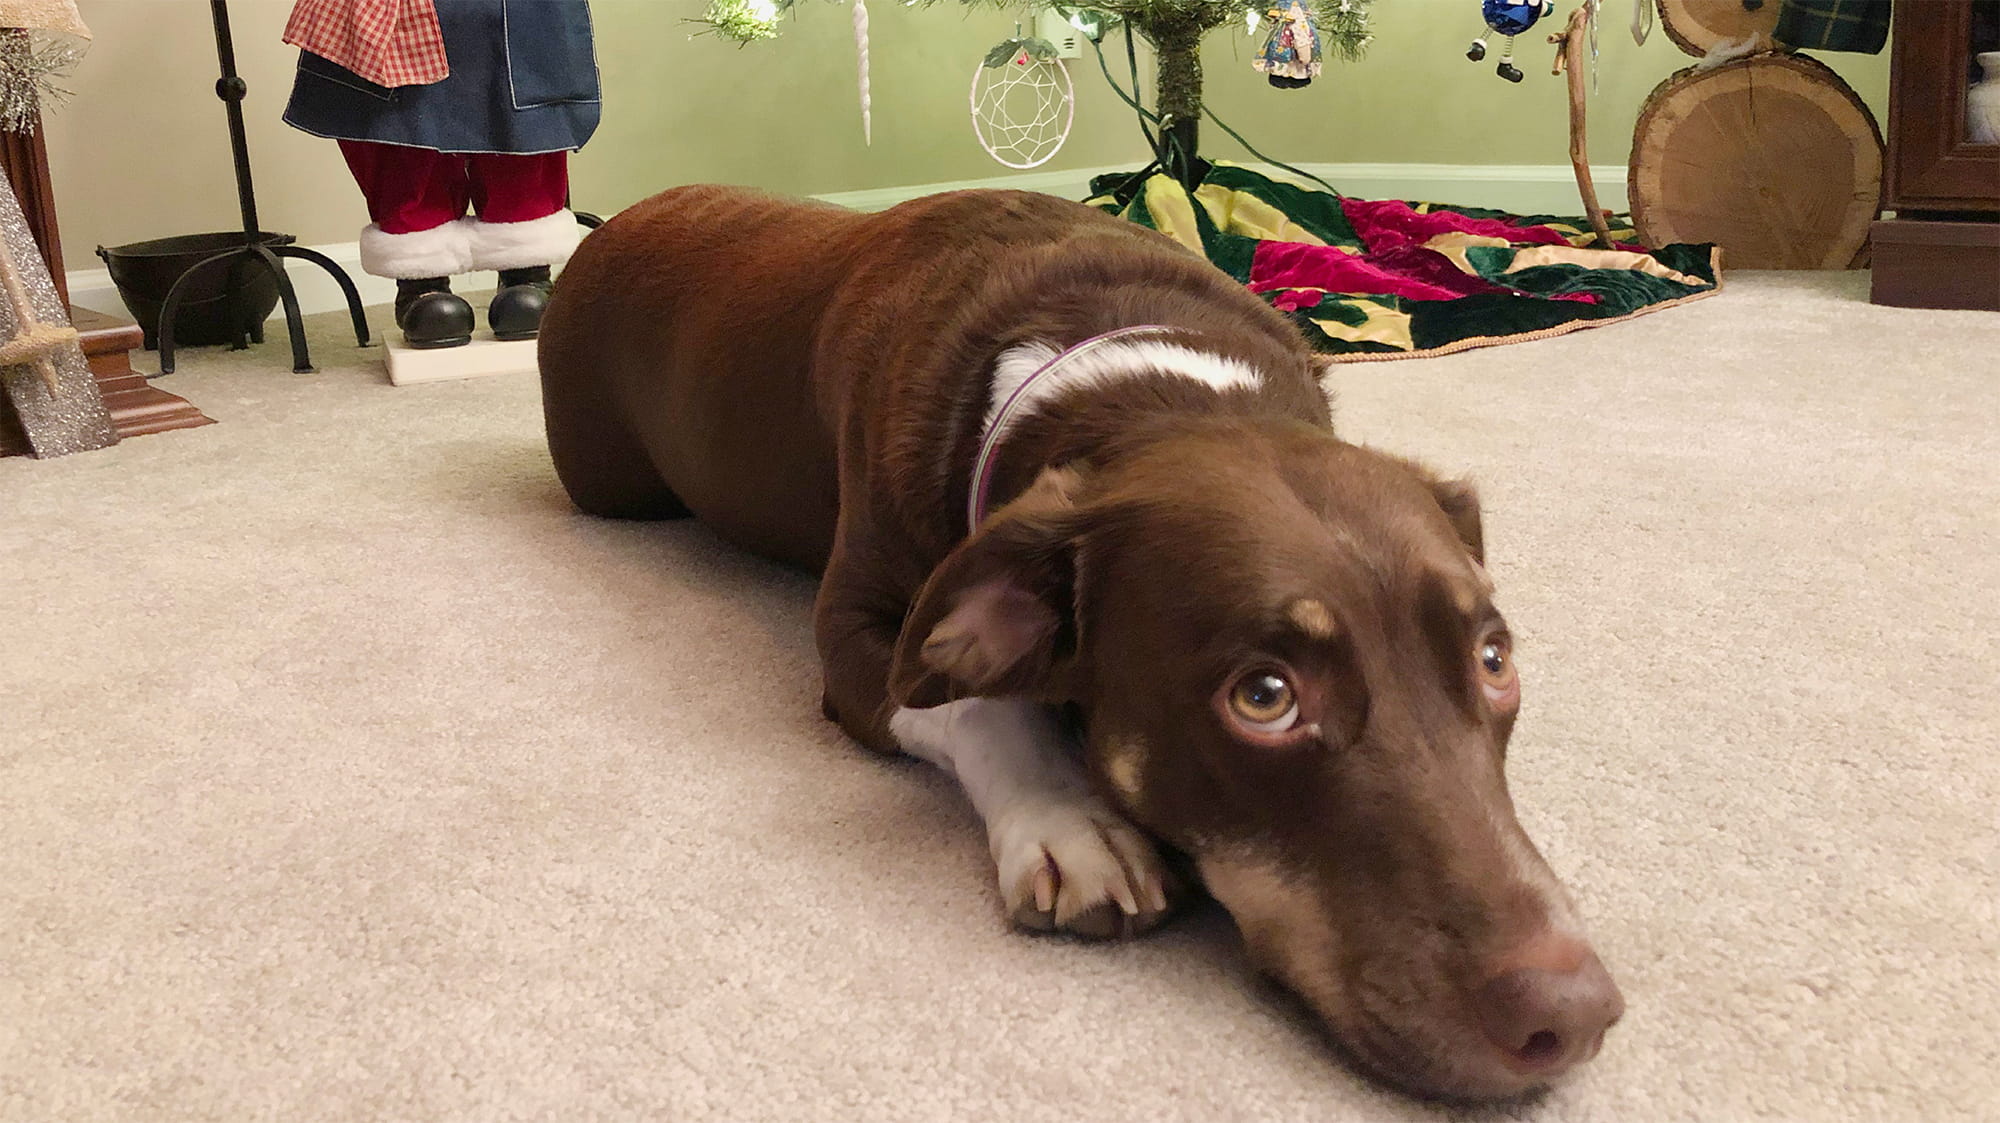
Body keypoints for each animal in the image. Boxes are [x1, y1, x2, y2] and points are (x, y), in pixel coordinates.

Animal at [536, 185, 1624, 1101]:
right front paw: (1071, 822)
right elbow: (976, 703)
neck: (1139, 377)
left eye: (1493, 661)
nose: (1572, 1017)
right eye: (1263, 696)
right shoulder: (856, 638)